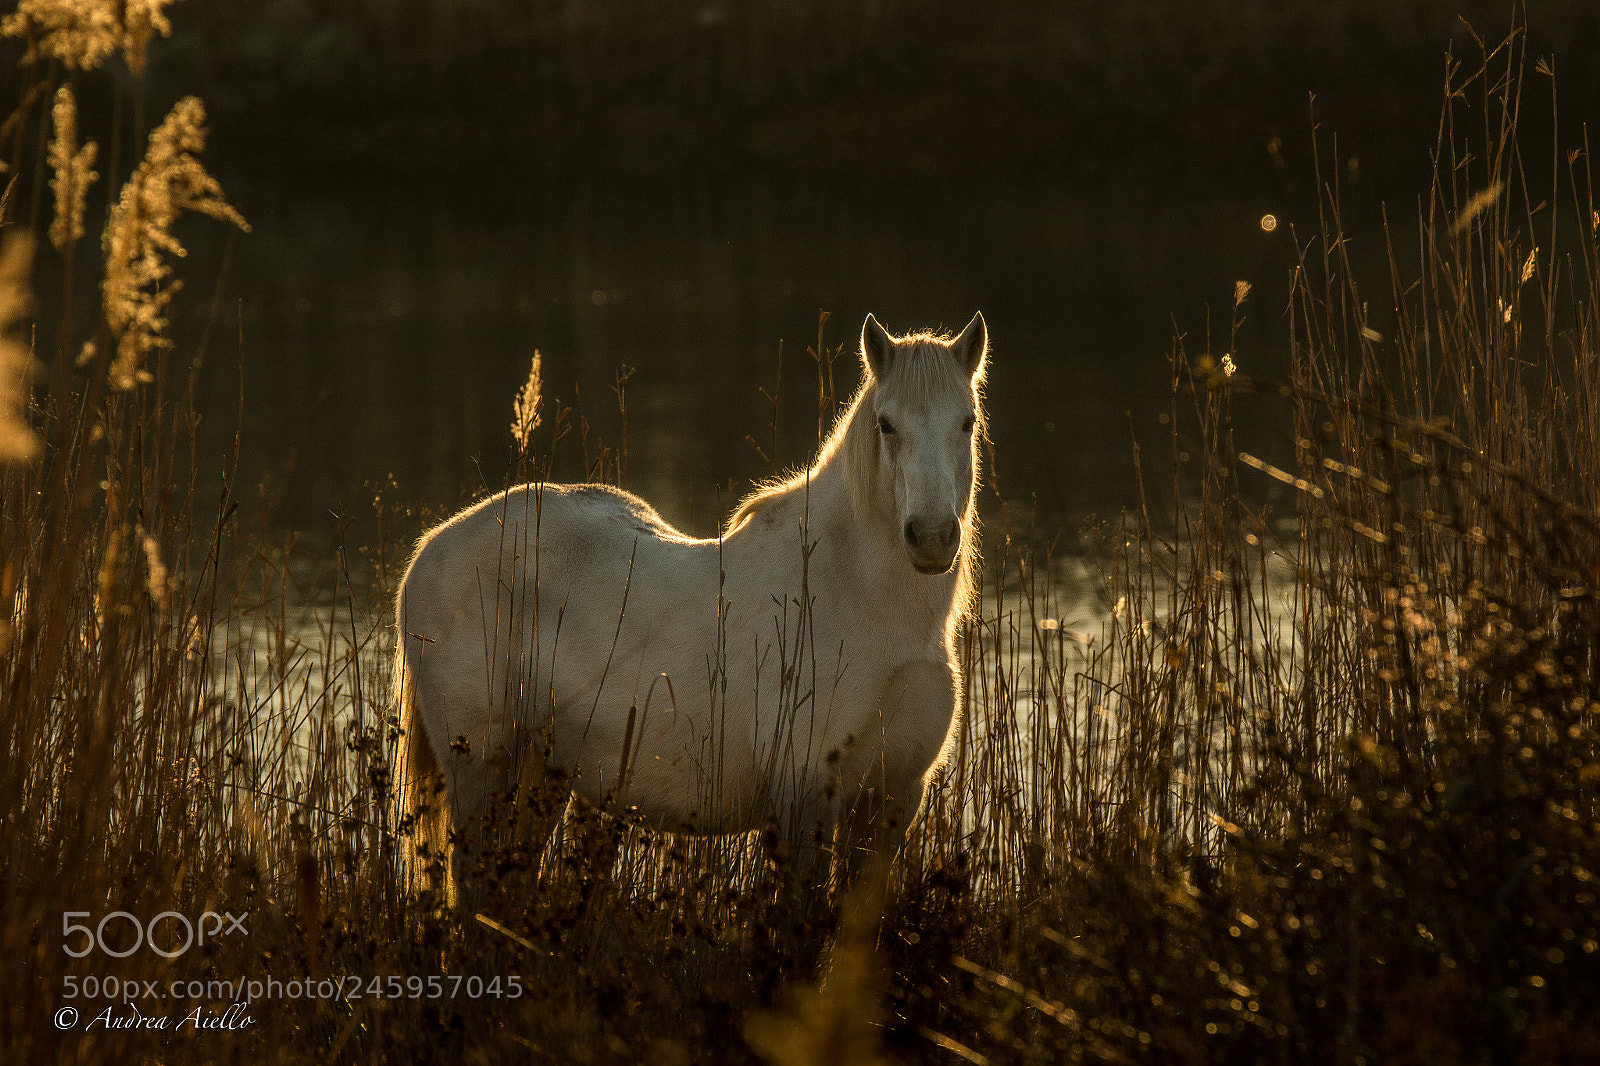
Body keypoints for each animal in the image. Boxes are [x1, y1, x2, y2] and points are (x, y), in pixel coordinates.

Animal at [393, 312, 988, 901]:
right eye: (886, 424)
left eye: (967, 422)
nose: (931, 538)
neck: (863, 602)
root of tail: (429, 550)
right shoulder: (804, 801)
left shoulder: (891, 802)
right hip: (483, 773)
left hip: (540, 776)